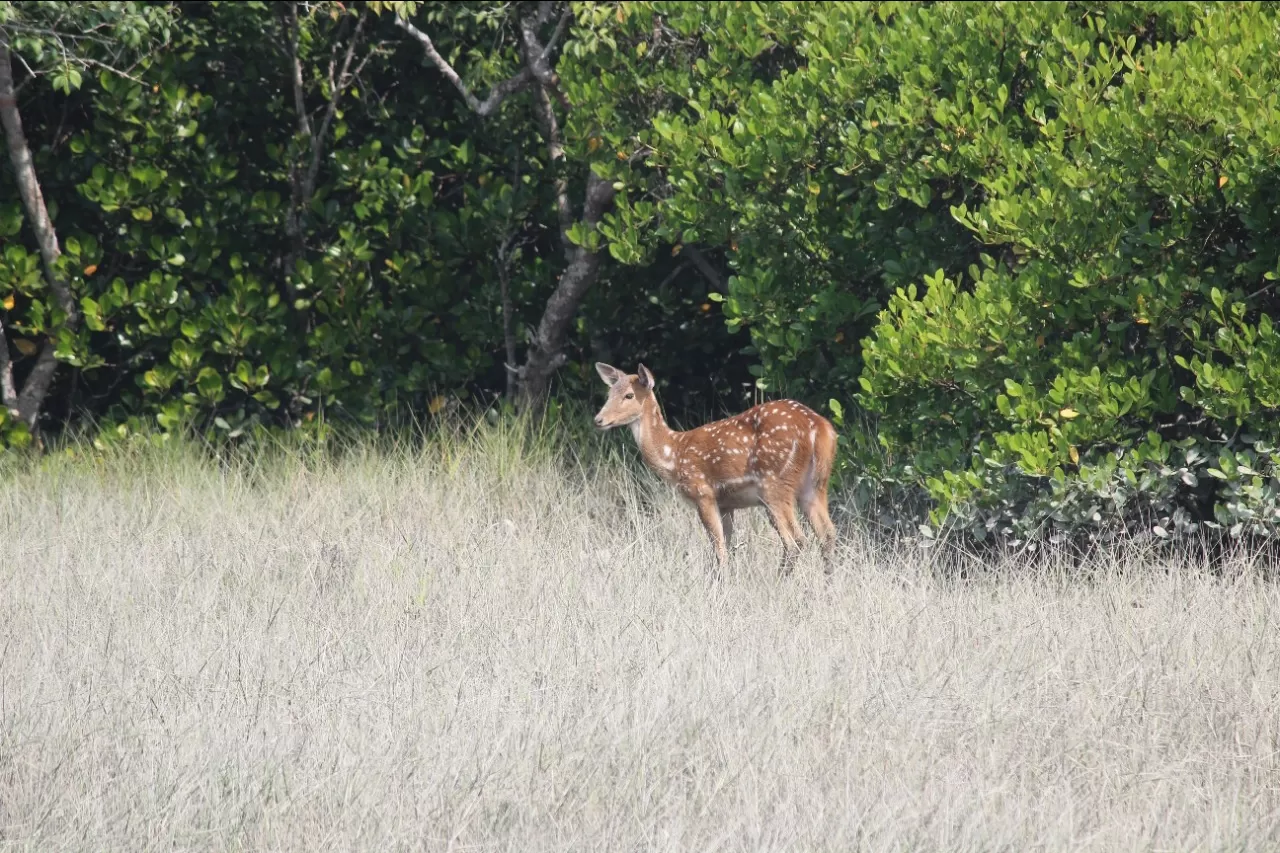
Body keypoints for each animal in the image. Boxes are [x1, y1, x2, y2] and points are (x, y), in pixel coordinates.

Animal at [591, 361, 839, 573]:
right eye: (609, 394)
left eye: (629, 395)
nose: (598, 420)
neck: (674, 456)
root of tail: (820, 427)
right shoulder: (727, 503)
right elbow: (728, 547)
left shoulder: (703, 492)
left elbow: (719, 550)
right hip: (815, 485)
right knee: (827, 534)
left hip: (775, 483)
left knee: (796, 541)